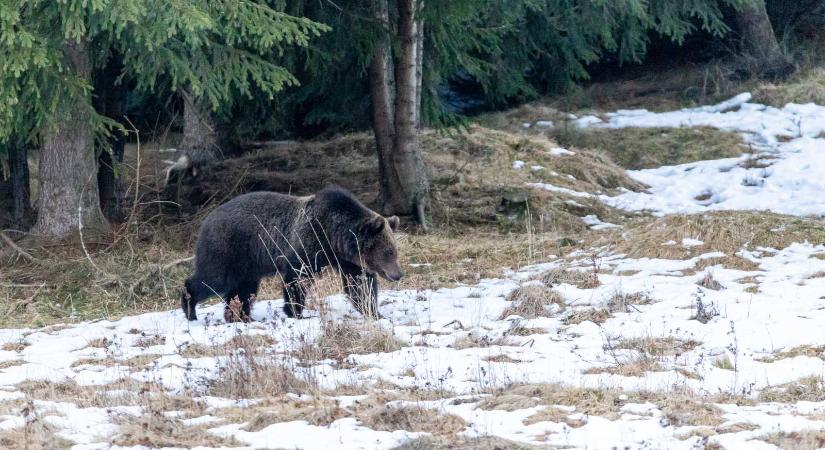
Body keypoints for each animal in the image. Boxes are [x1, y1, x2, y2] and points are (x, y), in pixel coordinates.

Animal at [179, 187, 402, 324]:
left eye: (395, 250)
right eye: (389, 252)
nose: (399, 274)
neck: (333, 238)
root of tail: (206, 219)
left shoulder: (348, 261)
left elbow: (359, 285)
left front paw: (374, 312)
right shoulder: (306, 245)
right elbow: (297, 280)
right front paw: (296, 313)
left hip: (248, 263)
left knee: (243, 289)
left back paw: (239, 316)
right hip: (227, 248)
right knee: (212, 278)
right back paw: (190, 309)